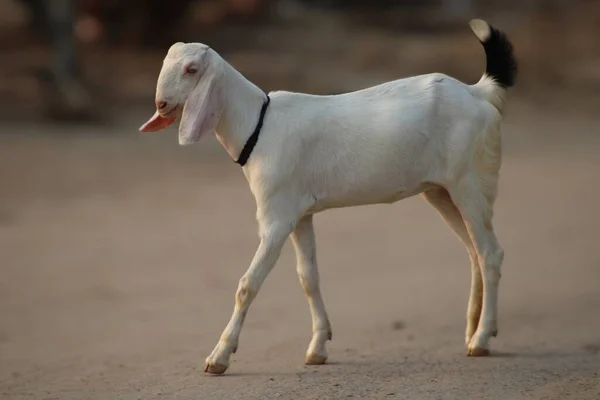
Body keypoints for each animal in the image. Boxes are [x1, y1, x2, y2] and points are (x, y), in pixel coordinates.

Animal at [142, 18, 520, 376]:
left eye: (191, 69)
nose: (161, 103)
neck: (258, 124)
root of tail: (478, 92)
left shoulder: (276, 216)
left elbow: (248, 283)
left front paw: (218, 358)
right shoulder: (301, 214)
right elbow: (308, 278)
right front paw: (318, 348)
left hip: (470, 183)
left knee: (490, 253)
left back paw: (481, 339)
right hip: (440, 191)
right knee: (473, 252)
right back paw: (472, 331)